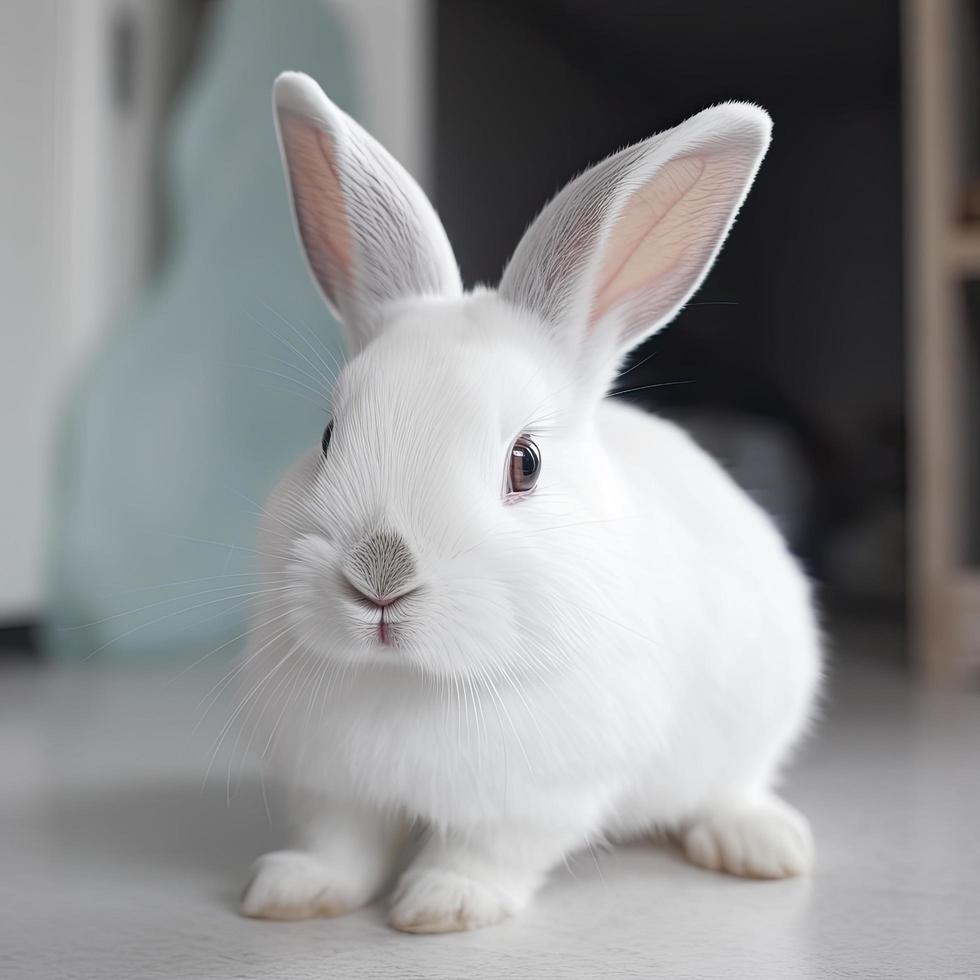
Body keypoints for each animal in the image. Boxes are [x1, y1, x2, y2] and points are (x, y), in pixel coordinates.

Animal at [237, 71, 820, 936]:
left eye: (526, 463)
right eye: (329, 436)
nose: (380, 576)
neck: (411, 682)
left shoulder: (536, 799)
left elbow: (485, 853)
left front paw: (442, 905)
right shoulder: (332, 787)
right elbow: (341, 845)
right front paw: (290, 893)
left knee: (733, 786)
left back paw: (761, 846)